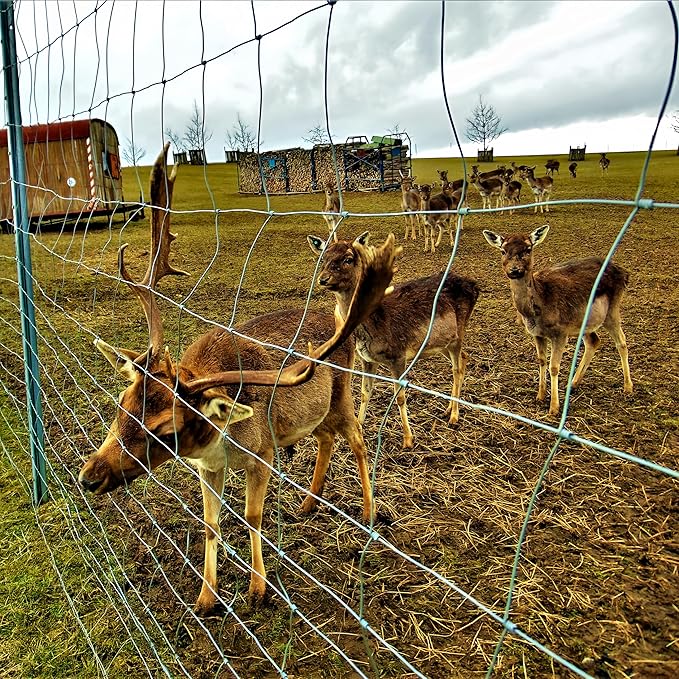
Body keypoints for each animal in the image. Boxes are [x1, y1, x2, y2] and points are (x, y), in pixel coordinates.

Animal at [78, 144, 400, 614]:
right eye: (121, 403)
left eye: (165, 428)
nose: (89, 476)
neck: (219, 443)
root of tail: (340, 320)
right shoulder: (206, 468)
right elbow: (210, 523)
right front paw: (205, 596)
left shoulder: (263, 452)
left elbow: (252, 516)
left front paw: (258, 588)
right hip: (316, 411)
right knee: (325, 438)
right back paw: (308, 503)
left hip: (343, 394)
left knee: (356, 440)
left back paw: (369, 512)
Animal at [308, 232, 479, 449]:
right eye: (323, 257)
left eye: (348, 258)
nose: (323, 279)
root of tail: (475, 286)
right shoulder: (365, 359)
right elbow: (364, 392)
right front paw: (360, 425)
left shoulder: (398, 355)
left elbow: (400, 397)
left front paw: (408, 439)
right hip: (442, 343)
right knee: (464, 358)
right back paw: (449, 408)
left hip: (459, 332)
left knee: (457, 368)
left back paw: (454, 416)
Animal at [483, 224, 633, 416]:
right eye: (503, 250)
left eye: (528, 249)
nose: (514, 270)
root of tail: (624, 273)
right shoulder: (536, 334)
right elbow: (541, 361)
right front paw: (540, 396)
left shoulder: (560, 332)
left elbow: (554, 367)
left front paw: (554, 408)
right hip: (585, 321)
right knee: (594, 341)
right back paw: (573, 384)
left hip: (612, 309)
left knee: (622, 342)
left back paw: (628, 388)